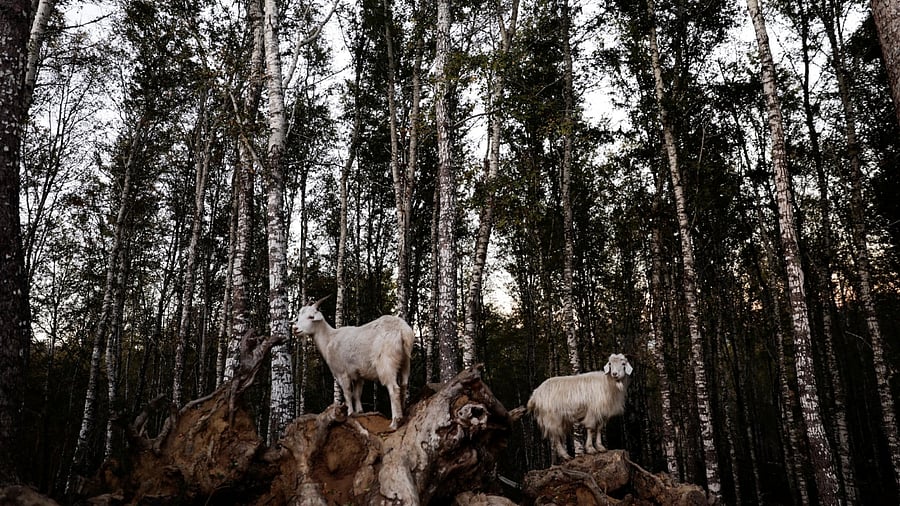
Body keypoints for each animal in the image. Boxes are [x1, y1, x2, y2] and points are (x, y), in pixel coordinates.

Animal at [292, 296, 414, 430]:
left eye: (311, 317)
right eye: (299, 316)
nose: (295, 329)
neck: (330, 339)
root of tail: (402, 330)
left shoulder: (341, 373)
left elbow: (347, 393)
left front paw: (349, 413)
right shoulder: (359, 375)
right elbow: (357, 394)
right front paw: (359, 412)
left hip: (386, 363)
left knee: (394, 389)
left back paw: (395, 422)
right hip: (405, 361)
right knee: (404, 385)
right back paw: (403, 415)